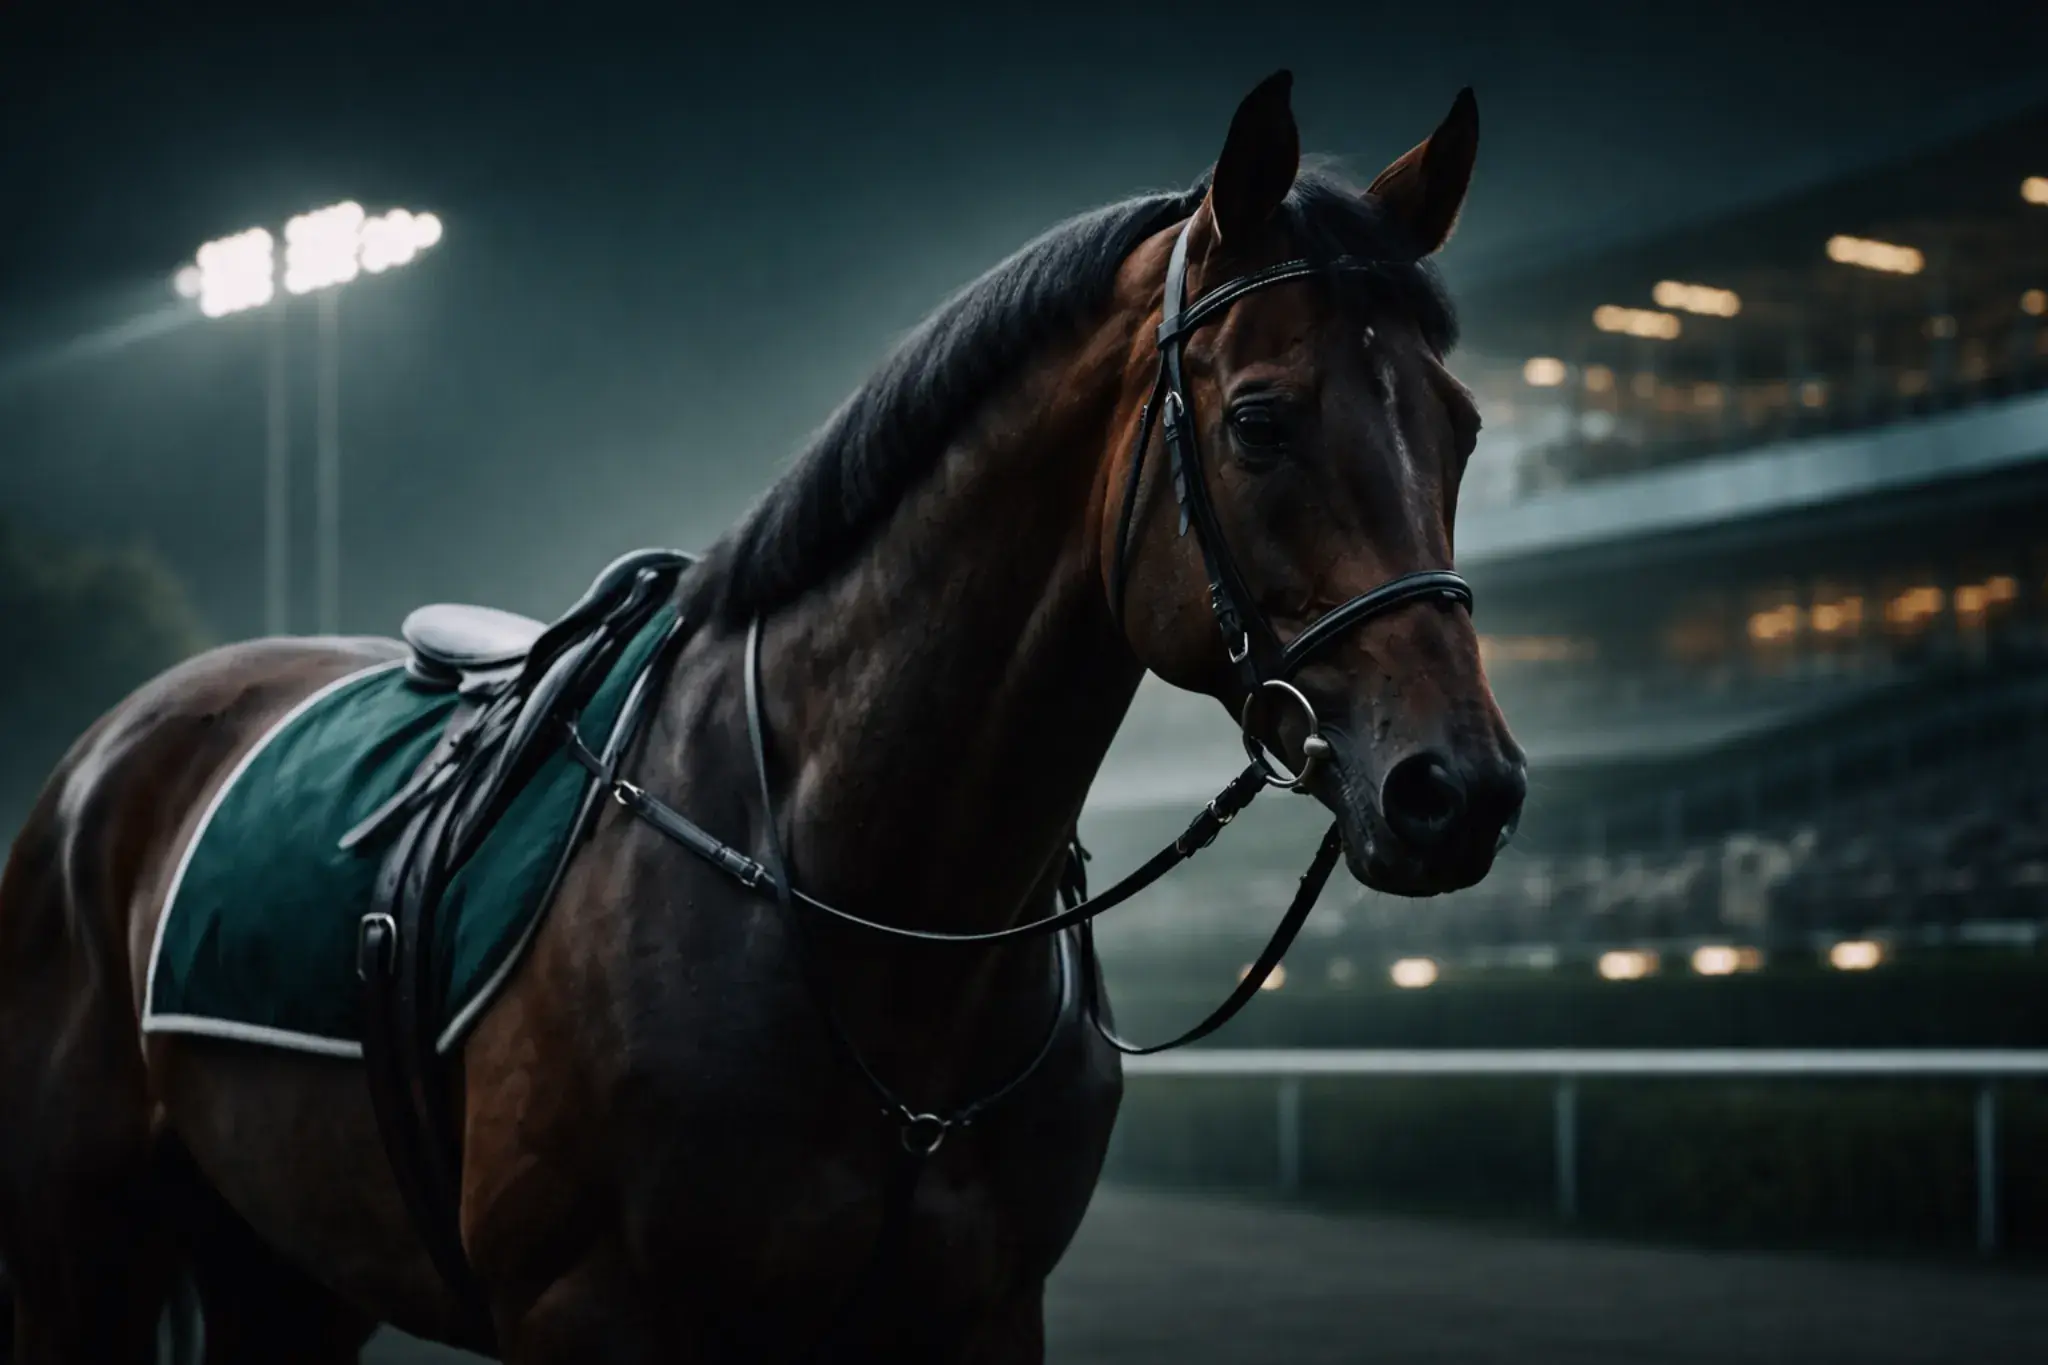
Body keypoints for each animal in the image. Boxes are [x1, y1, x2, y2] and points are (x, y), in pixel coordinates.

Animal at [0, 71, 1523, 1363]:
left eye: (1461, 427)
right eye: (1260, 419)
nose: (1459, 787)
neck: (867, 904)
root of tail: (105, 757)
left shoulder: (981, 1314)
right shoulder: (591, 1319)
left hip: (286, 1266)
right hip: (84, 1253)